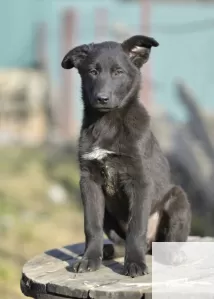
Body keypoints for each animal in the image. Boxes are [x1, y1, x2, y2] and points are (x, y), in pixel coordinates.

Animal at [61, 35, 191, 278]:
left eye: (118, 72)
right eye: (93, 71)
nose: (102, 98)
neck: (107, 123)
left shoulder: (139, 182)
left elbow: (136, 228)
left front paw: (135, 263)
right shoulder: (89, 182)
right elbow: (91, 226)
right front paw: (89, 259)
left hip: (178, 199)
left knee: (166, 241)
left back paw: (170, 254)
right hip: (109, 214)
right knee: (118, 241)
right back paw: (108, 250)